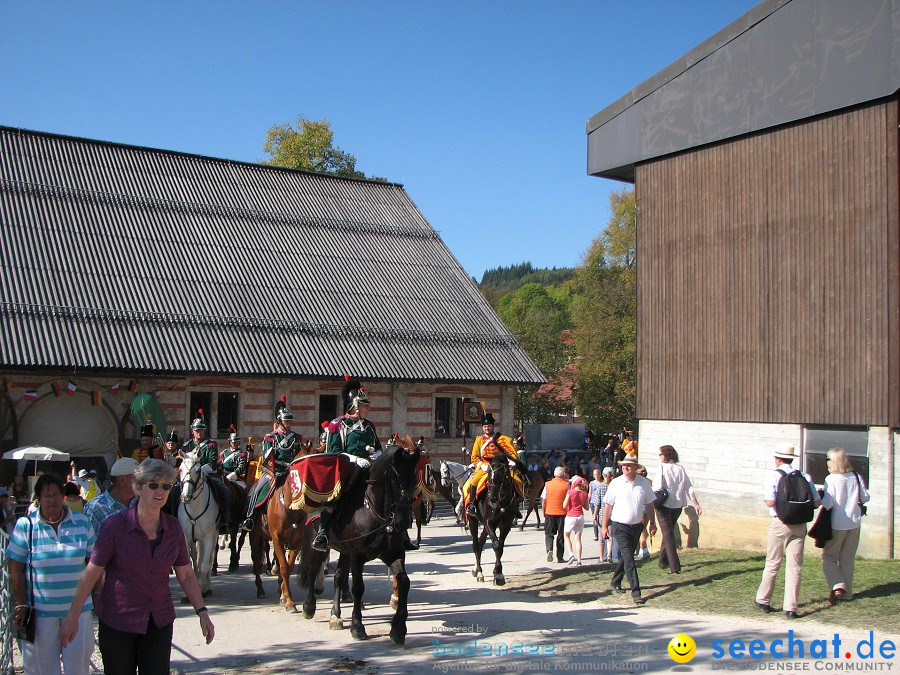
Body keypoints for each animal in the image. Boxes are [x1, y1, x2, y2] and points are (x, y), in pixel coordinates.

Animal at [178, 454, 221, 596]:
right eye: (180, 469)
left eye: (197, 470)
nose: (186, 496)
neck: (195, 508)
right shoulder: (186, 538)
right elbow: (189, 563)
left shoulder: (209, 537)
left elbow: (205, 564)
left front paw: (203, 588)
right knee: (197, 555)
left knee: (208, 557)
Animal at [298, 436, 420, 648]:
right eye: (395, 480)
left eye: (413, 479)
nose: (403, 522)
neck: (375, 512)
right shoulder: (357, 556)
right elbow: (358, 587)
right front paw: (357, 627)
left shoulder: (394, 553)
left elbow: (404, 581)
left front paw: (398, 629)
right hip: (319, 544)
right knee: (313, 568)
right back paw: (309, 606)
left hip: (344, 550)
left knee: (338, 577)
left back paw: (335, 616)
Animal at [468, 452, 516, 588]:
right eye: (489, 472)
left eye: (503, 473)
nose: (492, 497)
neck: (501, 502)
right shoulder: (489, 522)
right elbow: (496, 545)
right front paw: (498, 575)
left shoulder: (506, 525)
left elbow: (501, 547)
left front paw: (498, 573)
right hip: (473, 520)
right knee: (475, 544)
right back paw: (479, 572)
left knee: (480, 542)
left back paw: (476, 569)